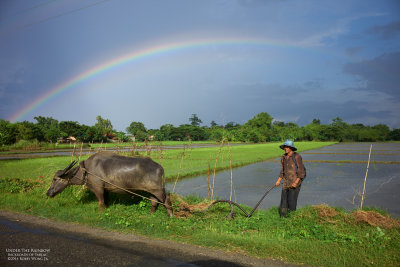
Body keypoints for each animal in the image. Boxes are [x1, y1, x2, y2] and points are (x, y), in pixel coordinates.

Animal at [45, 152, 173, 217]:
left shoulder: (98, 189)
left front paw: (101, 213)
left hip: (158, 190)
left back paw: (171, 216)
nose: (48, 193)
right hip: (150, 191)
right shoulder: (105, 190)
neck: (86, 171)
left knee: (167, 201)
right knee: (154, 202)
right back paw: (150, 214)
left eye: (54, 179)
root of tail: (159, 167)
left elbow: (101, 202)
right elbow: (105, 201)